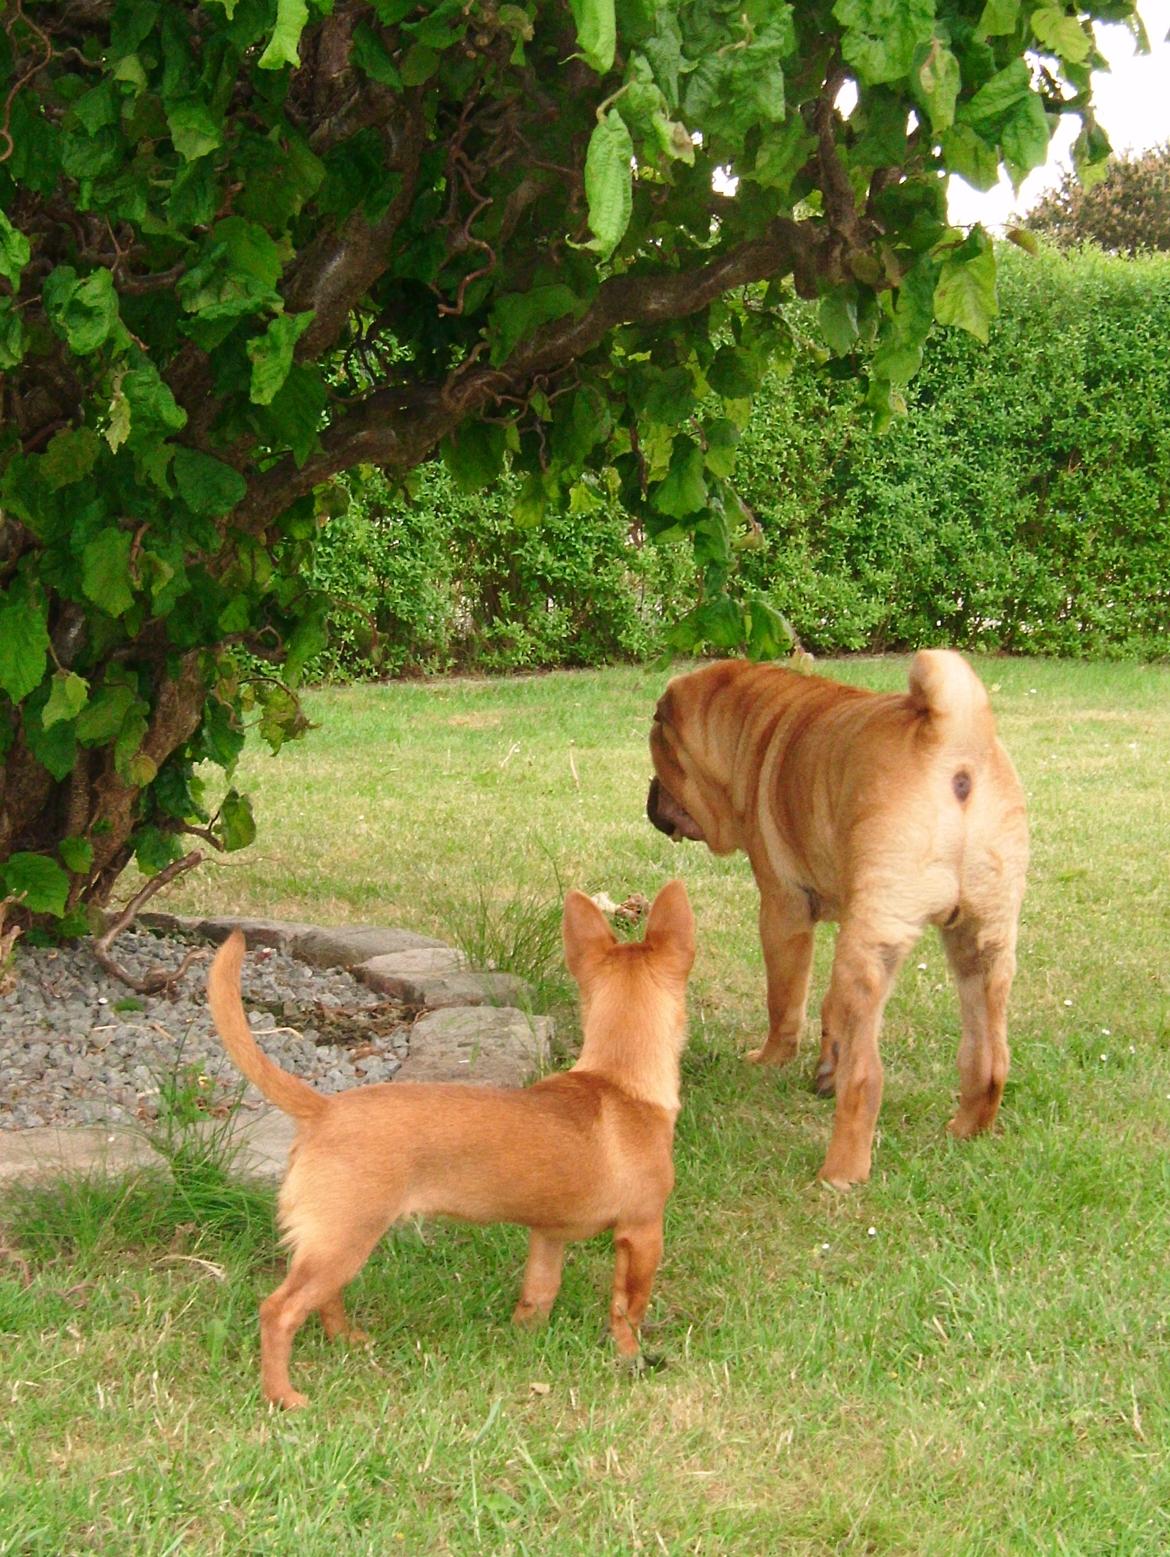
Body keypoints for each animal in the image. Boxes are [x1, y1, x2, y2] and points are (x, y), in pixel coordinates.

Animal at [208, 884, 694, 1407]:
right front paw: (630, 1355)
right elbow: (628, 1306)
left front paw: (525, 1336)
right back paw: (284, 1395)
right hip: (345, 1239)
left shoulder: (548, 1235)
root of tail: (324, 1109)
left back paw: (347, 1340)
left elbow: (539, 1290)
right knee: (279, 1311)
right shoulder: (642, 1233)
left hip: (335, 1242)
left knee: (322, 1299)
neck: (618, 1082)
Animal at [644, 650, 1028, 1183]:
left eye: (660, 752)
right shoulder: (848, 914)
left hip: (873, 950)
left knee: (867, 1077)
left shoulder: (782, 909)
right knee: (989, 1058)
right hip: (981, 944)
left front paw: (771, 1059)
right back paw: (965, 1131)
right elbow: (825, 1004)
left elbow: (786, 1000)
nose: (650, 796)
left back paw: (841, 1173)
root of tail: (954, 738)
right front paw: (825, 1063)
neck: (753, 731)